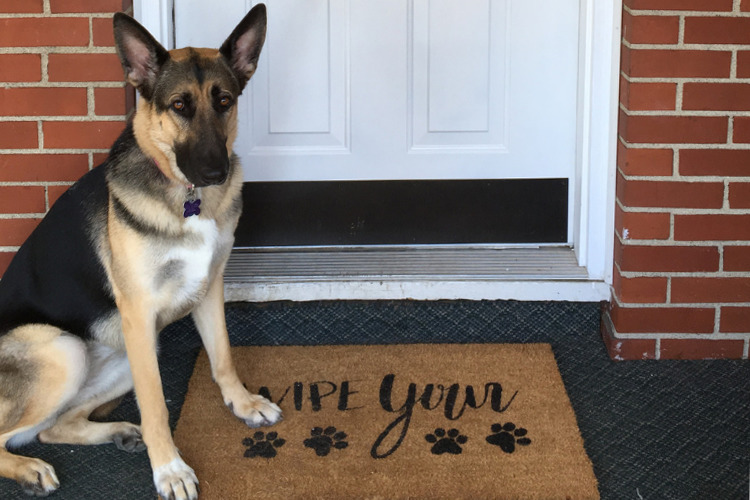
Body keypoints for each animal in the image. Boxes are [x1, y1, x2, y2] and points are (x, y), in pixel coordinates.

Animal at [0, 4, 280, 500]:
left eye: (224, 101)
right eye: (179, 105)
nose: (217, 172)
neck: (187, 198)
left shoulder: (209, 288)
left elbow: (223, 357)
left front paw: (242, 402)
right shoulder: (139, 313)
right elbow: (156, 408)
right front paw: (169, 468)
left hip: (122, 358)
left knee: (54, 427)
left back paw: (118, 433)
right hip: (64, 349)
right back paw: (29, 467)